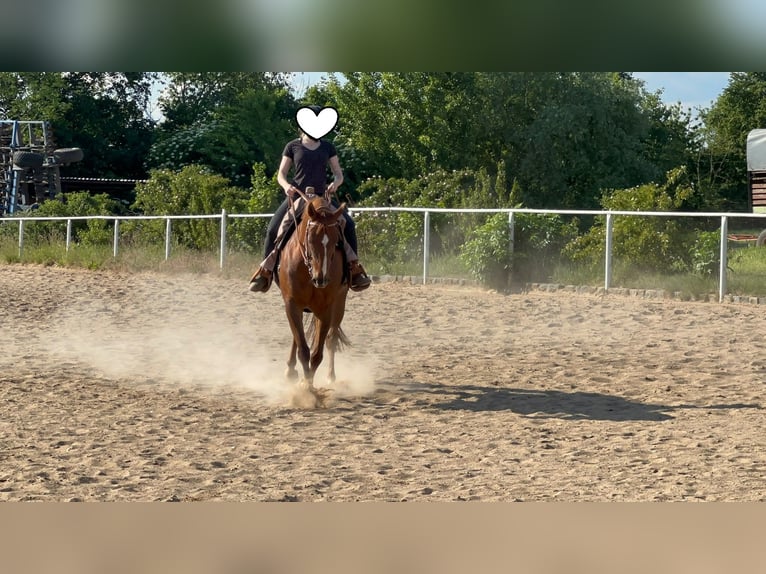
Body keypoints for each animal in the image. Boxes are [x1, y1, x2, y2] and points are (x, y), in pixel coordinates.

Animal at [276, 189, 350, 407]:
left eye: (336, 241)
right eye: (310, 239)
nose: (321, 278)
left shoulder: (325, 309)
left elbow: (317, 354)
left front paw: (308, 388)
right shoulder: (292, 305)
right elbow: (303, 348)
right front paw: (304, 387)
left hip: (339, 304)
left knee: (332, 338)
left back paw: (331, 376)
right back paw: (290, 371)